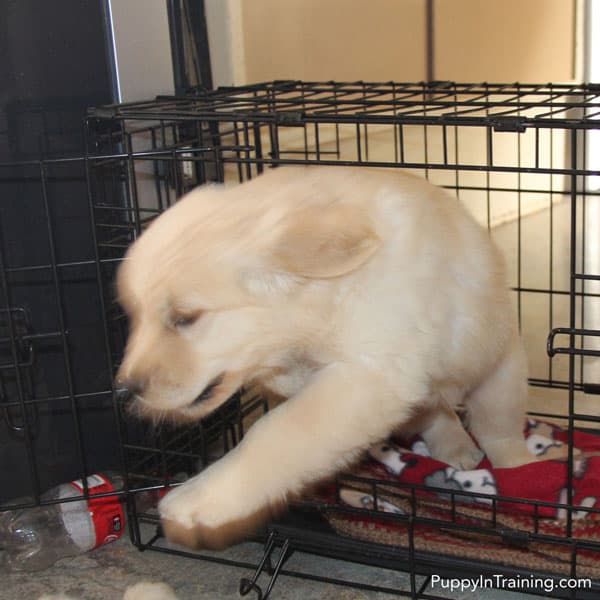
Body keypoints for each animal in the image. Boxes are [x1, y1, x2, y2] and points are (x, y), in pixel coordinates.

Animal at [115, 166, 532, 552]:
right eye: (135, 315)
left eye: (185, 318)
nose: (125, 390)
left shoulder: (369, 374)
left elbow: (276, 430)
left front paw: (196, 498)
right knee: (436, 412)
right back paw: (454, 446)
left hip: (499, 366)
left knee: (498, 427)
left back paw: (517, 469)